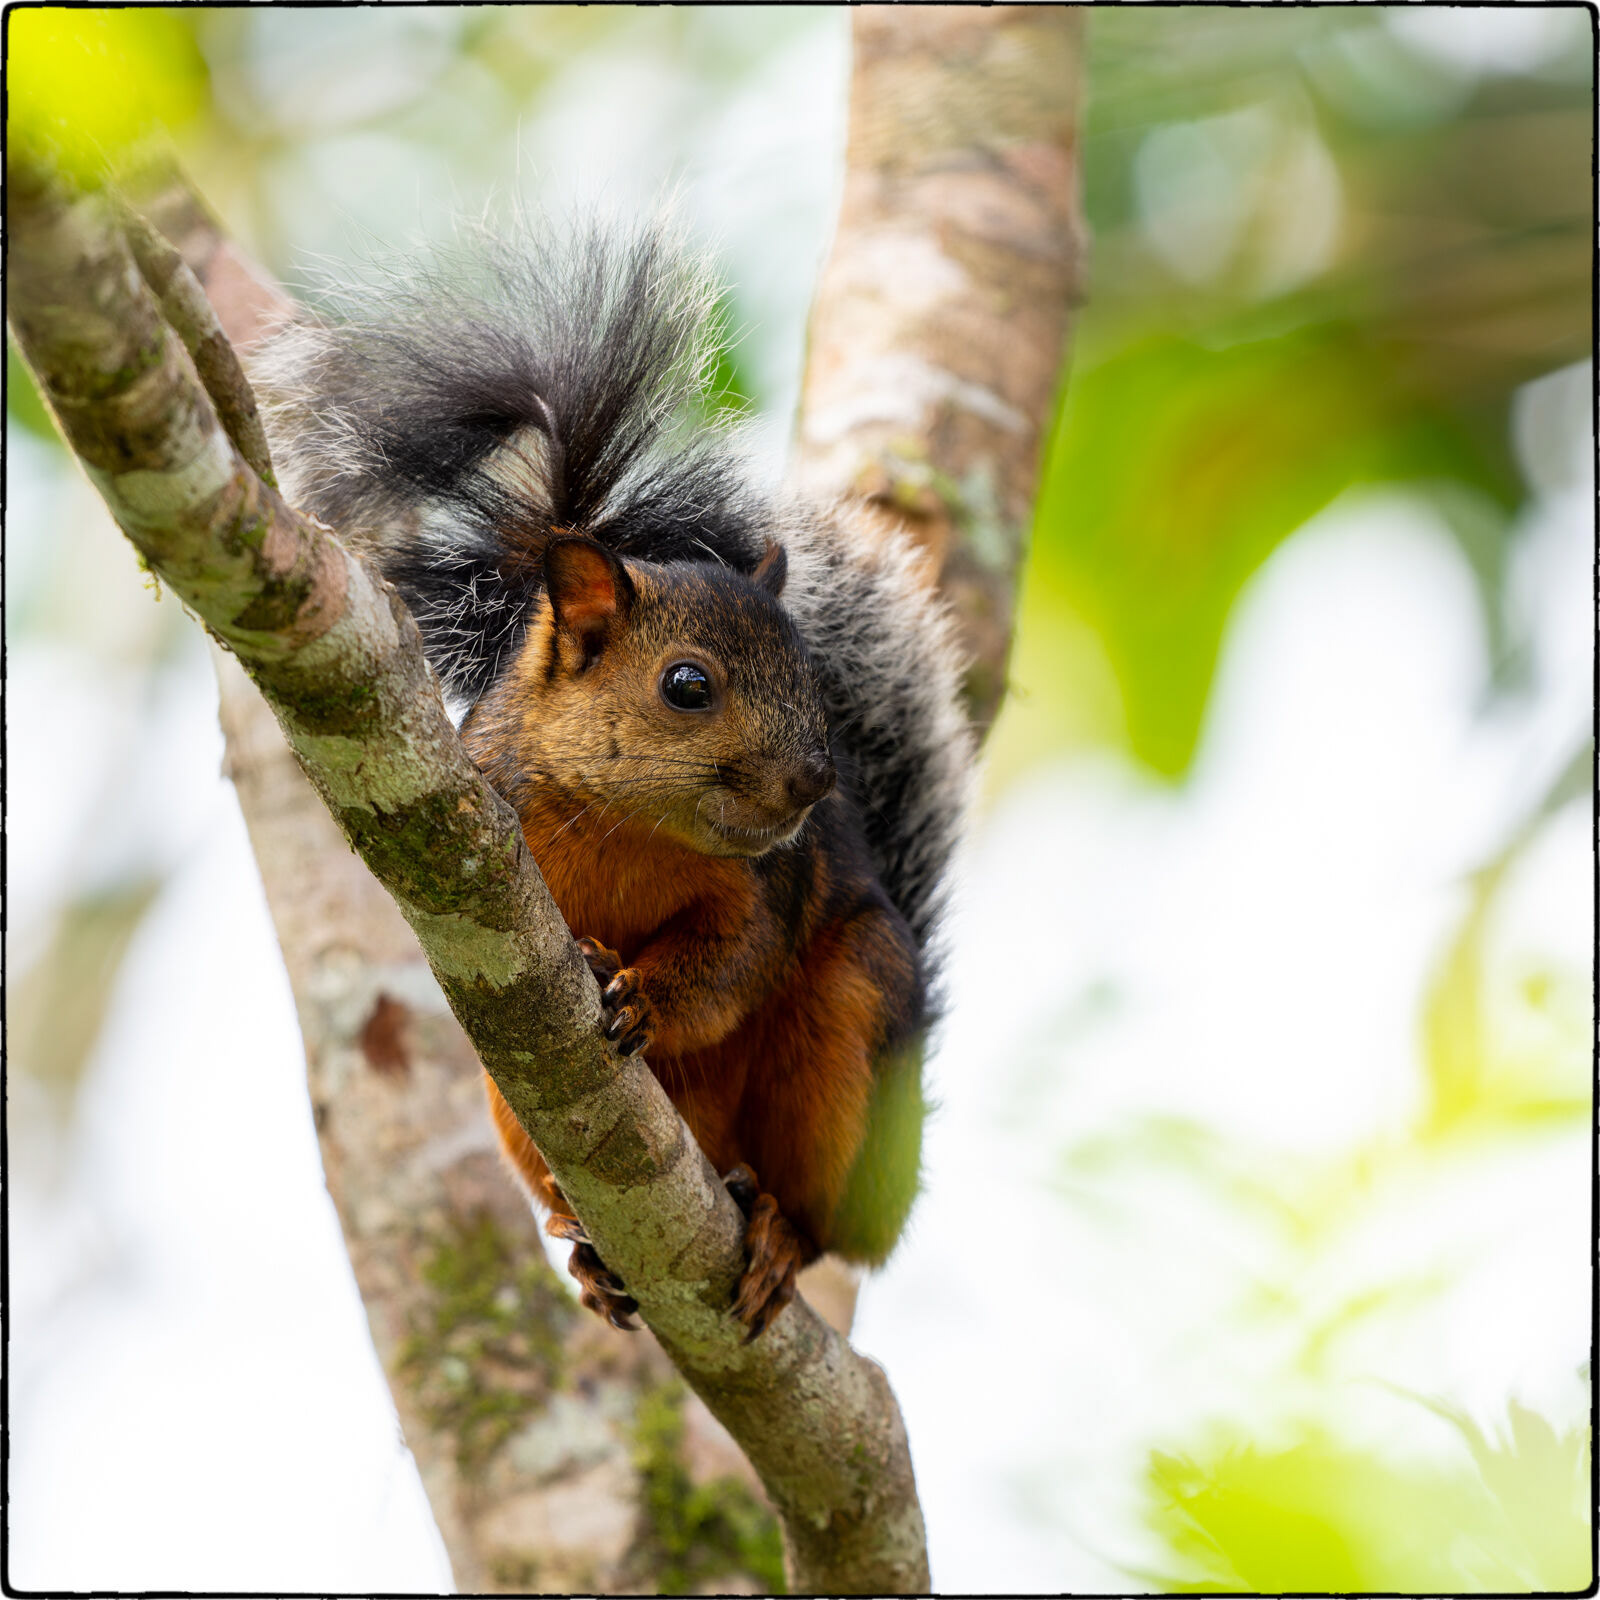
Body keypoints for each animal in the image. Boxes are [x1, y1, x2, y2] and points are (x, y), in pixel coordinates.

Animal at [250, 219, 973, 1339]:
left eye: (810, 674)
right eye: (687, 685)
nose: (817, 782)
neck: (627, 826)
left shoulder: (769, 883)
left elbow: (732, 964)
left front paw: (647, 995)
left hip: (855, 1027)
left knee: (823, 1219)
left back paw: (778, 1234)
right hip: (513, 1108)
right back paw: (586, 1248)